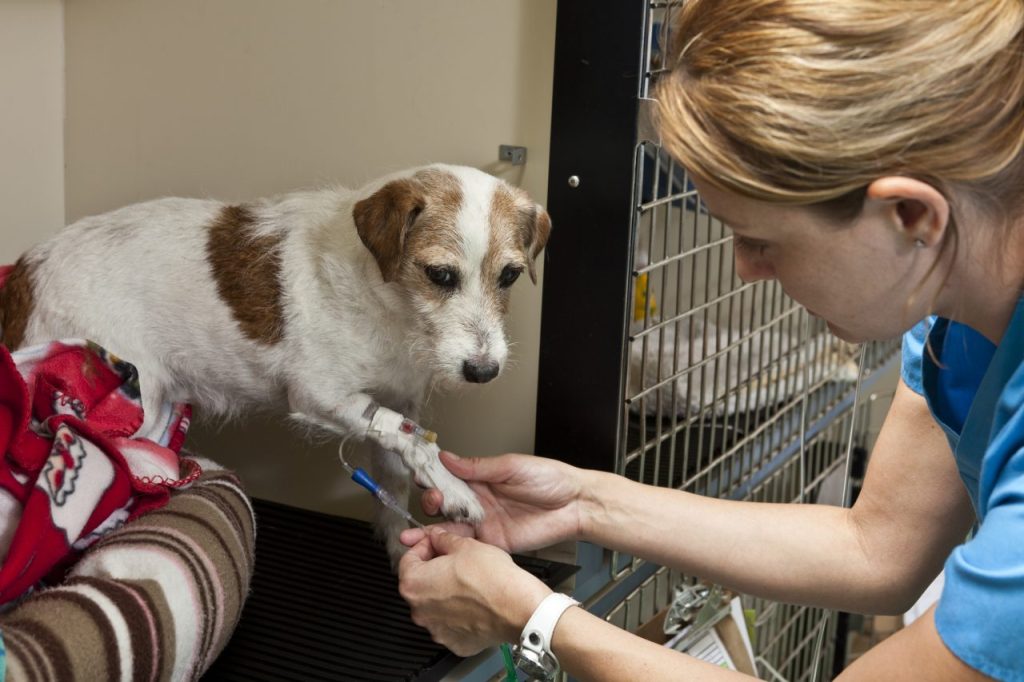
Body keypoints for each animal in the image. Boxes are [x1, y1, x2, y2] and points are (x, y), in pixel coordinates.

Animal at [0, 163, 552, 557]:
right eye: (439, 275)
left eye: (509, 275)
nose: (484, 371)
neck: (389, 303)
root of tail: (25, 270)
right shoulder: (320, 395)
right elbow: (411, 439)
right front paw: (455, 489)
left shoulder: (399, 397)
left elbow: (396, 465)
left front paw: (402, 549)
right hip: (135, 405)